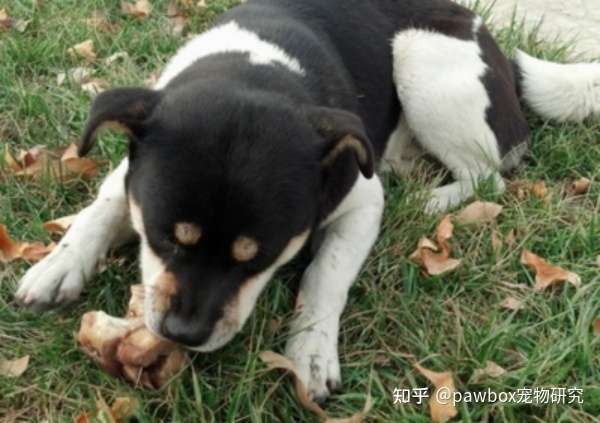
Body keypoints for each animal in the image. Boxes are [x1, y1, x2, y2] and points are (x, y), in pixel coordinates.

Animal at [14, 0, 600, 404]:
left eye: (261, 258)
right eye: (164, 238)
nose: (184, 334)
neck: (254, 73)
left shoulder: (360, 205)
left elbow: (326, 275)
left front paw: (310, 352)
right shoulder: (131, 167)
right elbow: (100, 208)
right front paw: (58, 266)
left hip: (421, 58)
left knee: (487, 179)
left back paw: (427, 201)